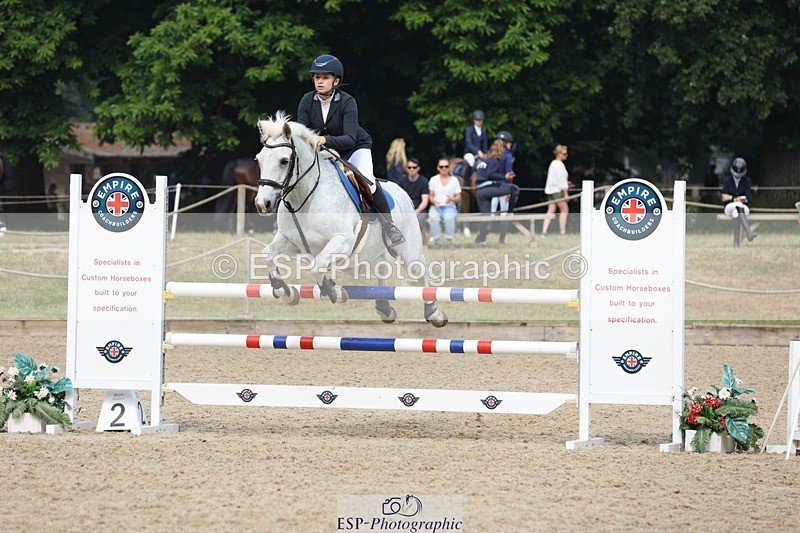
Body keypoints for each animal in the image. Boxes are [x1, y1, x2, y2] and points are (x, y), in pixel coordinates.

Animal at [253, 112, 448, 328]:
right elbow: (268, 254)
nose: (262, 204)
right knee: (382, 268)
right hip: (366, 257)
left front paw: (332, 291)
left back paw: (434, 313)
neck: (307, 198)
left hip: (407, 252)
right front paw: (286, 292)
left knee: (419, 270)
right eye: (259, 160)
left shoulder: (342, 241)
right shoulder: (290, 241)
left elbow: (318, 264)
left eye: (284, 161)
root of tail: (402, 191)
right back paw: (384, 308)